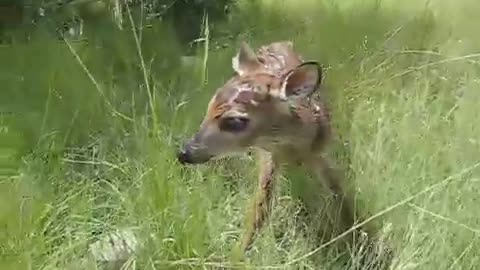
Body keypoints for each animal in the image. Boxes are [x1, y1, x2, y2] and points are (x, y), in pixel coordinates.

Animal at [178, 41, 376, 256]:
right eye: (209, 106)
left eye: (235, 121)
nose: (184, 152)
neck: (293, 147)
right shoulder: (270, 158)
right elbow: (260, 209)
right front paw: (238, 253)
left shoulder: (320, 152)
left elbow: (340, 193)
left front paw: (361, 237)